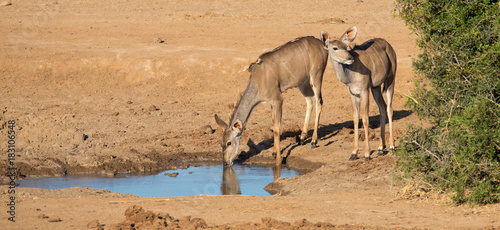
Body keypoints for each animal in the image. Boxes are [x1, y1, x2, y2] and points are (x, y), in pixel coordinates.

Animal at [214, 35, 328, 165]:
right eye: (221, 143)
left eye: (229, 142)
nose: (225, 162)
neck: (258, 80)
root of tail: (321, 44)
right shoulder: (271, 103)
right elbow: (274, 124)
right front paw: (274, 152)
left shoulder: (278, 100)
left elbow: (277, 128)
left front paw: (278, 159)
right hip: (302, 83)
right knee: (310, 101)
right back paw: (302, 138)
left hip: (316, 76)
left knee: (319, 102)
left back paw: (314, 141)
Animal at [320, 26, 398, 160]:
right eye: (335, 48)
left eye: (346, 47)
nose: (349, 59)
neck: (350, 74)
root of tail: (389, 46)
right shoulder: (353, 94)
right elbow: (356, 119)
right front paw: (354, 153)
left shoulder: (364, 91)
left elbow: (365, 119)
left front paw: (367, 153)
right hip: (376, 87)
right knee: (382, 107)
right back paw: (380, 148)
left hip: (390, 80)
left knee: (389, 108)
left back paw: (392, 147)